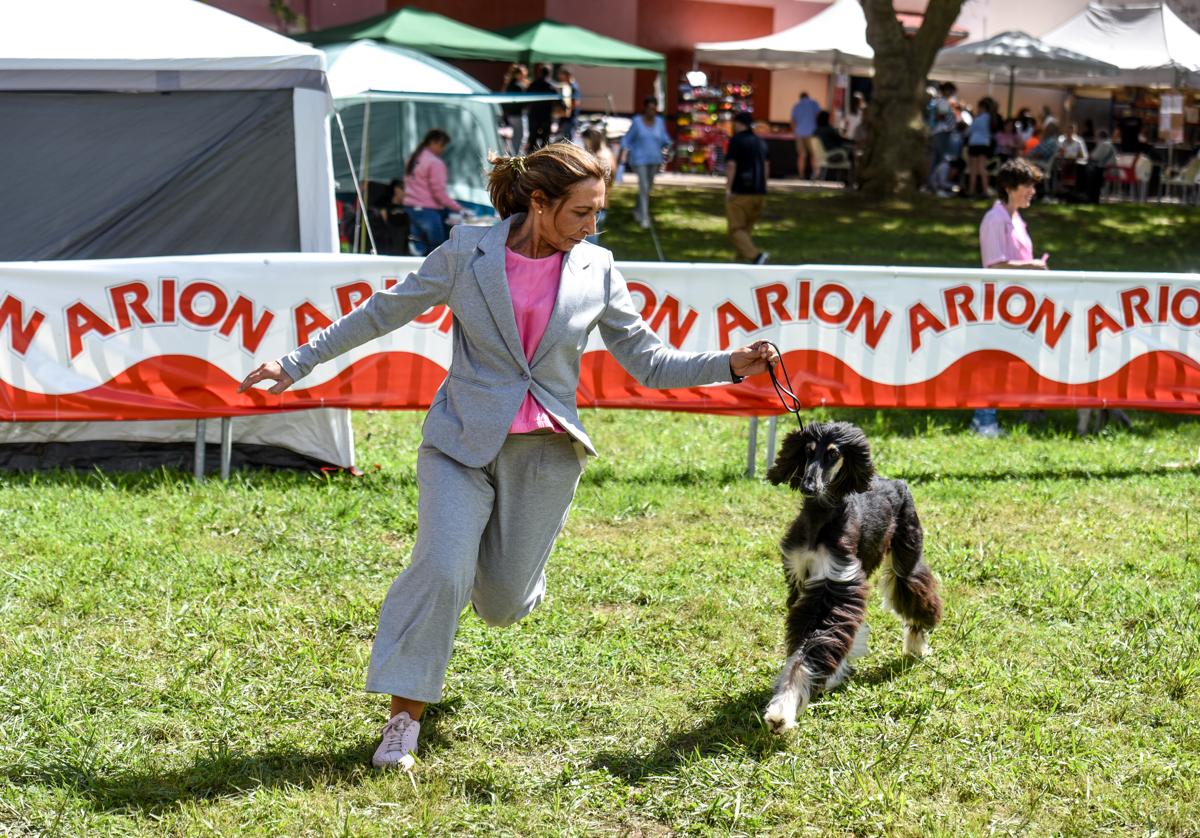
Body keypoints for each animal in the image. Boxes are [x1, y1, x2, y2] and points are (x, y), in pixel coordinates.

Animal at [763, 420, 940, 729]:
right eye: (808, 450)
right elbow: (805, 644)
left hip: (907, 552)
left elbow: (815, 644)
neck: (820, 519)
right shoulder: (802, 582)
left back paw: (917, 641)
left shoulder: (836, 583)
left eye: (833, 454)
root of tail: (894, 481)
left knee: (914, 587)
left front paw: (783, 710)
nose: (809, 486)